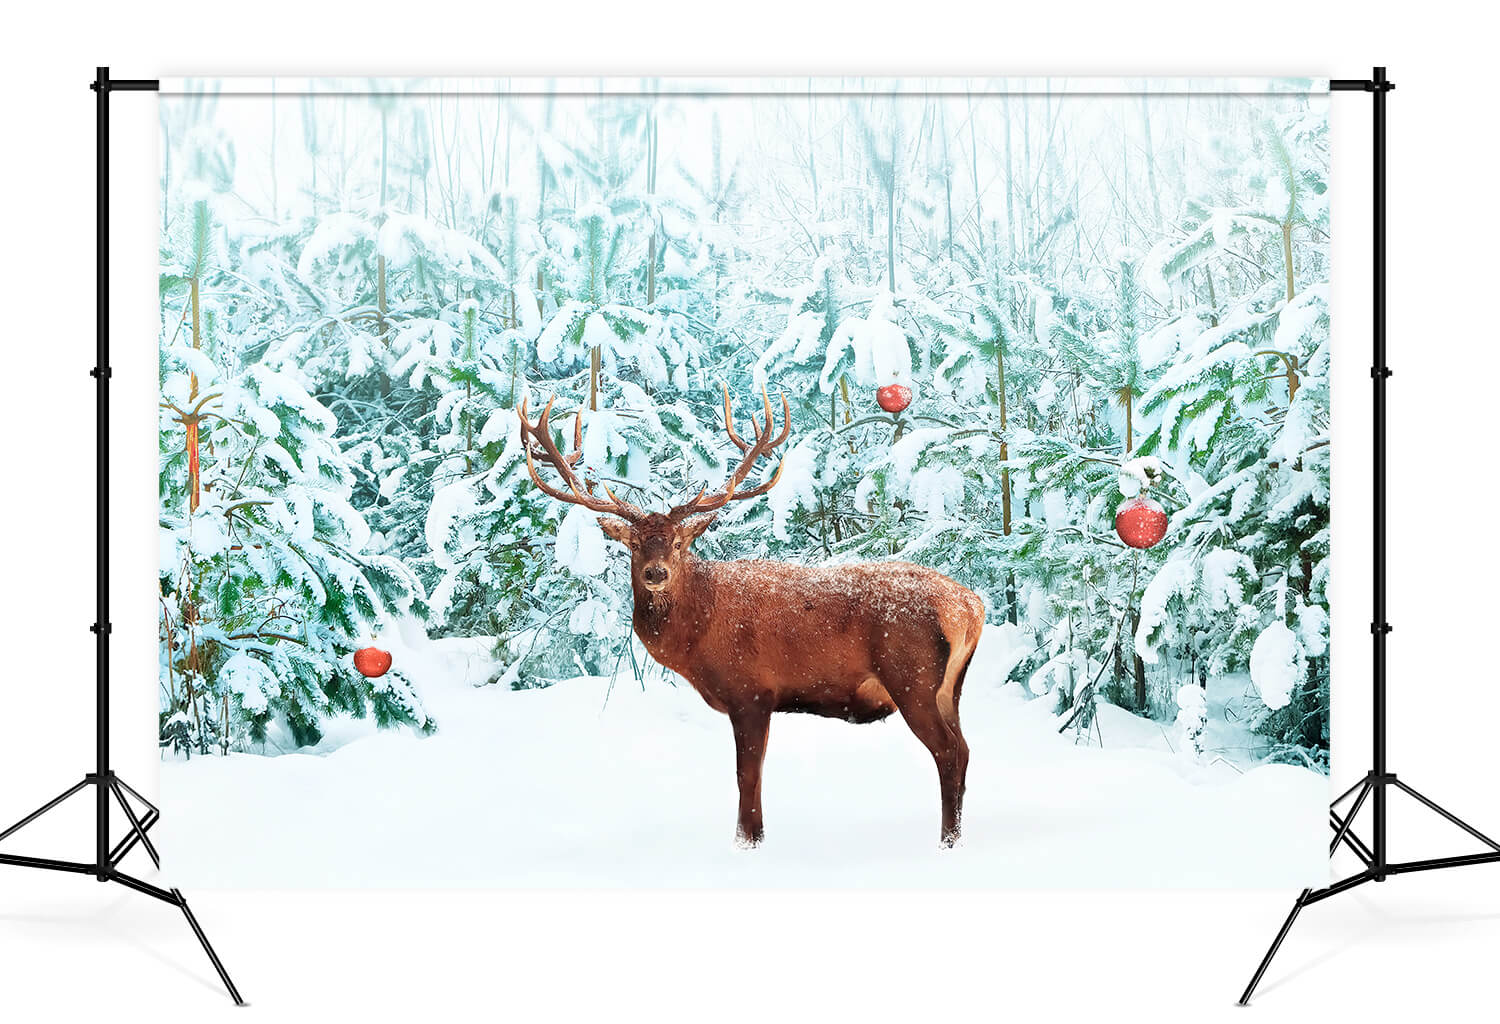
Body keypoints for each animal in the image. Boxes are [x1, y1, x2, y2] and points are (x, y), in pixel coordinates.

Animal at [518, 387, 985, 847]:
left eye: (679, 543)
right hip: (951, 687)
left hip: (912, 676)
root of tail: (969, 607)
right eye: (633, 545)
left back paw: (946, 842)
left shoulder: (751, 691)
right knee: (964, 750)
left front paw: (748, 840)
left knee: (947, 751)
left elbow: (748, 777)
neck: (697, 638)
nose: (656, 573)